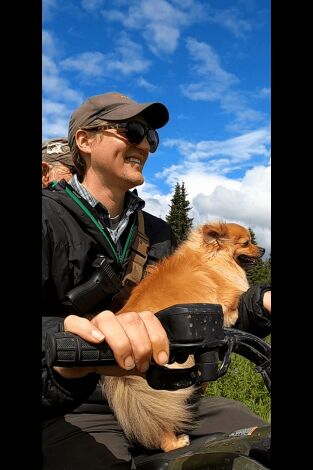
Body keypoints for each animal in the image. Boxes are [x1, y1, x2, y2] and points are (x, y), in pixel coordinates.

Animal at [102, 222, 264, 454]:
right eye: (246, 243)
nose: (263, 250)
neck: (212, 259)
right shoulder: (226, 303)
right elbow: (236, 298)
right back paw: (175, 443)